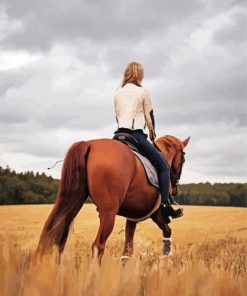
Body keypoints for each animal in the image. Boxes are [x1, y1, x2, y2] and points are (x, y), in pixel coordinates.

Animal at [36, 135, 190, 260]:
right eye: (183, 157)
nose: (176, 189)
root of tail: (89, 144)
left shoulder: (132, 217)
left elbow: (128, 249)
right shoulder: (157, 214)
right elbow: (167, 230)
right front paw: (167, 254)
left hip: (73, 200)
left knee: (56, 238)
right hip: (108, 212)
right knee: (98, 245)